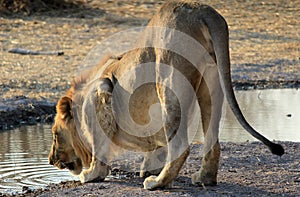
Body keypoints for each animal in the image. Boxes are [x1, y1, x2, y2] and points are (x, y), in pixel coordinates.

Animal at [47, 0, 284, 191]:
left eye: (56, 135)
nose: (50, 160)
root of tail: (202, 11)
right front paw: (150, 166)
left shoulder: (100, 93)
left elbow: (99, 147)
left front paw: (91, 175)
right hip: (211, 84)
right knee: (212, 141)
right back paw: (203, 178)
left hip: (167, 79)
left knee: (180, 146)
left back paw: (157, 183)